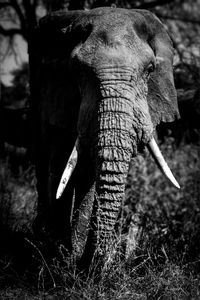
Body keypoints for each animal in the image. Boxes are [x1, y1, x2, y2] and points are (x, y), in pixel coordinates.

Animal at [28, 6, 180, 264]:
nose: (98, 262)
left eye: (150, 70)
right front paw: (59, 260)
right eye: (76, 71)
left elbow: (90, 174)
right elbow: (61, 168)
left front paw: (72, 258)